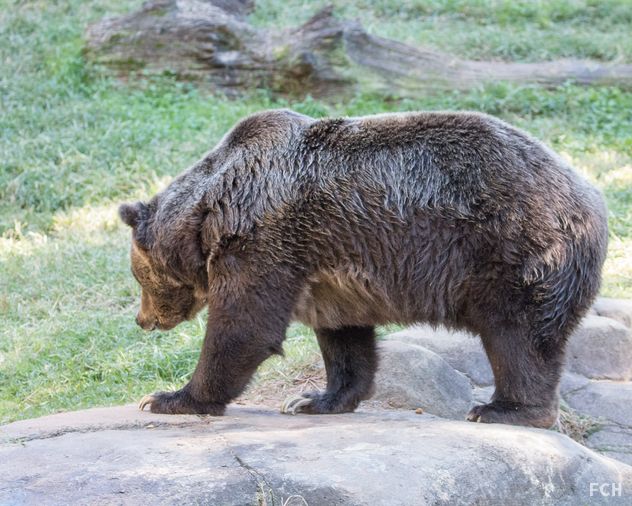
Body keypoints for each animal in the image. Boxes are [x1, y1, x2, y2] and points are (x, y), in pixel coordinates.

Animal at [118, 109, 608, 426]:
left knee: (518, 336)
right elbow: (344, 338)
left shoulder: (263, 240)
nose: (143, 319)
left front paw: (168, 397)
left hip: (515, 250)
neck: (209, 216)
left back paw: (502, 410)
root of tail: (591, 194)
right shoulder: (328, 267)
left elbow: (244, 326)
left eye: (139, 278)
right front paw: (314, 399)